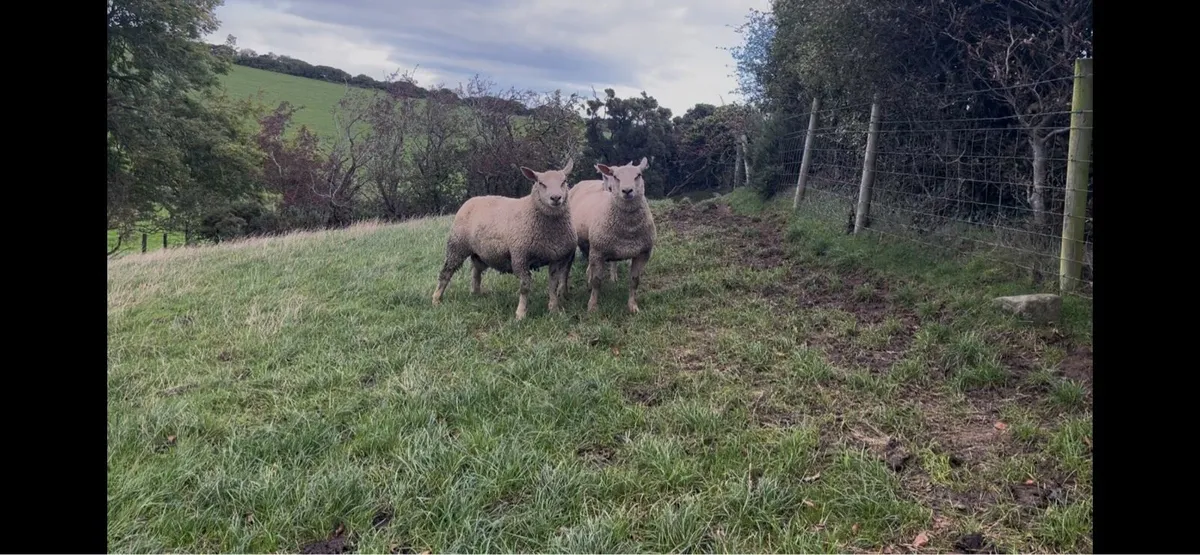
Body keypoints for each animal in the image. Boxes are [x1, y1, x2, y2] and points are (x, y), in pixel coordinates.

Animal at [431, 159, 577, 320]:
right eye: (540, 183)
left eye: (564, 181)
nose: (556, 198)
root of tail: (471, 201)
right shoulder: (520, 257)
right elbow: (525, 287)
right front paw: (520, 314)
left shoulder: (557, 258)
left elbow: (553, 286)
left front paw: (554, 309)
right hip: (457, 245)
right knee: (447, 271)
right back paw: (436, 298)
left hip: (480, 252)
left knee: (476, 271)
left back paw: (476, 293)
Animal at [568, 157, 657, 313]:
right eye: (616, 177)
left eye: (638, 175)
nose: (627, 191)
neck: (629, 230)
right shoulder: (598, 251)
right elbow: (597, 281)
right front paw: (592, 306)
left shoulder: (643, 253)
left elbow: (634, 281)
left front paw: (633, 306)